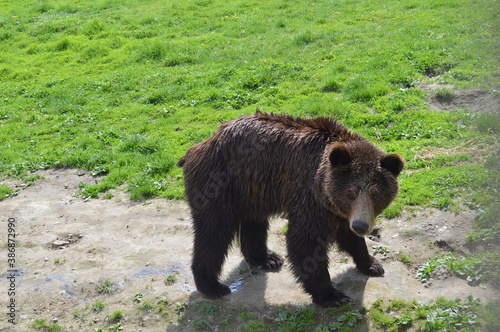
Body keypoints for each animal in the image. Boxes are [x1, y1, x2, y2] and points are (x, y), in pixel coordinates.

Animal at [178, 111, 404, 306]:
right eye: (351, 193)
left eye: (375, 194)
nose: (360, 226)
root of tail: (201, 144)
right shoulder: (311, 196)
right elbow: (305, 241)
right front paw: (332, 295)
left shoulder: (338, 209)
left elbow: (349, 238)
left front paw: (372, 264)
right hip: (219, 182)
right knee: (213, 233)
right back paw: (212, 286)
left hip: (252, 189)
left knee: (254, 222)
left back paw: (267, 258)